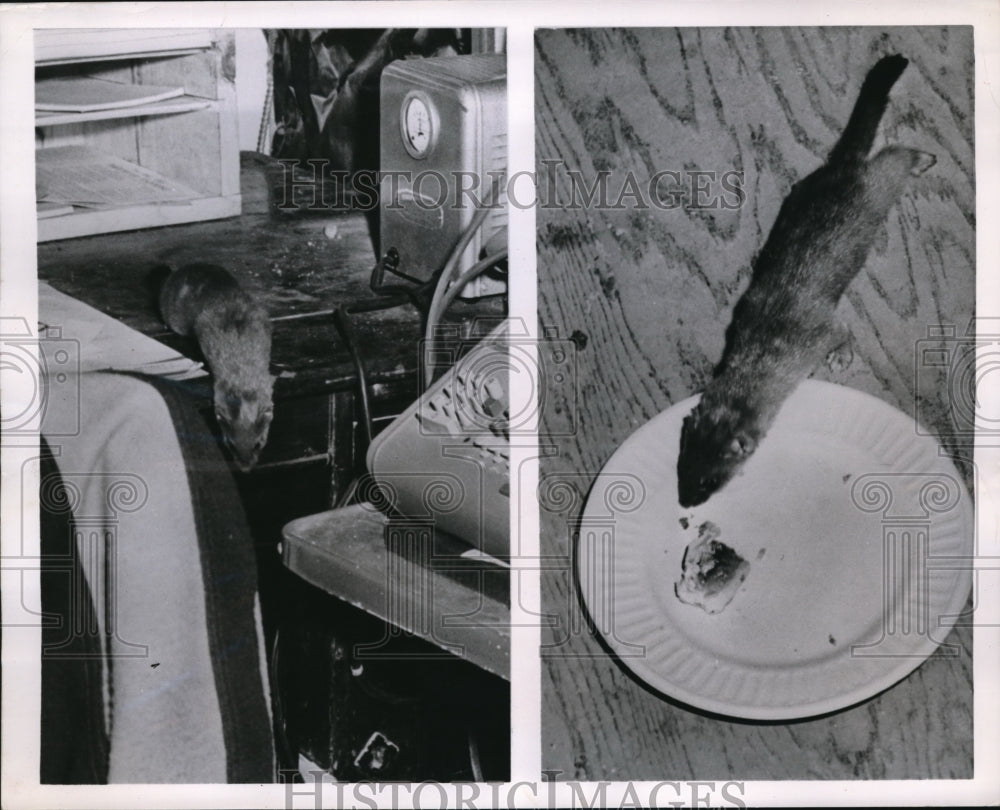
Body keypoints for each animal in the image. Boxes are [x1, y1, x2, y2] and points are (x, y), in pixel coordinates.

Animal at [676, 56, 932, 508]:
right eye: (682, 468)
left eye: (710, 480)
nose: (685, 503)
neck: (763, 351)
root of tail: (840, 167)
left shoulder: (819, 331)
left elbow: (841, 331)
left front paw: (841, 357)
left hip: (877, 189)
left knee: (892, 158)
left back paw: (921, 157)